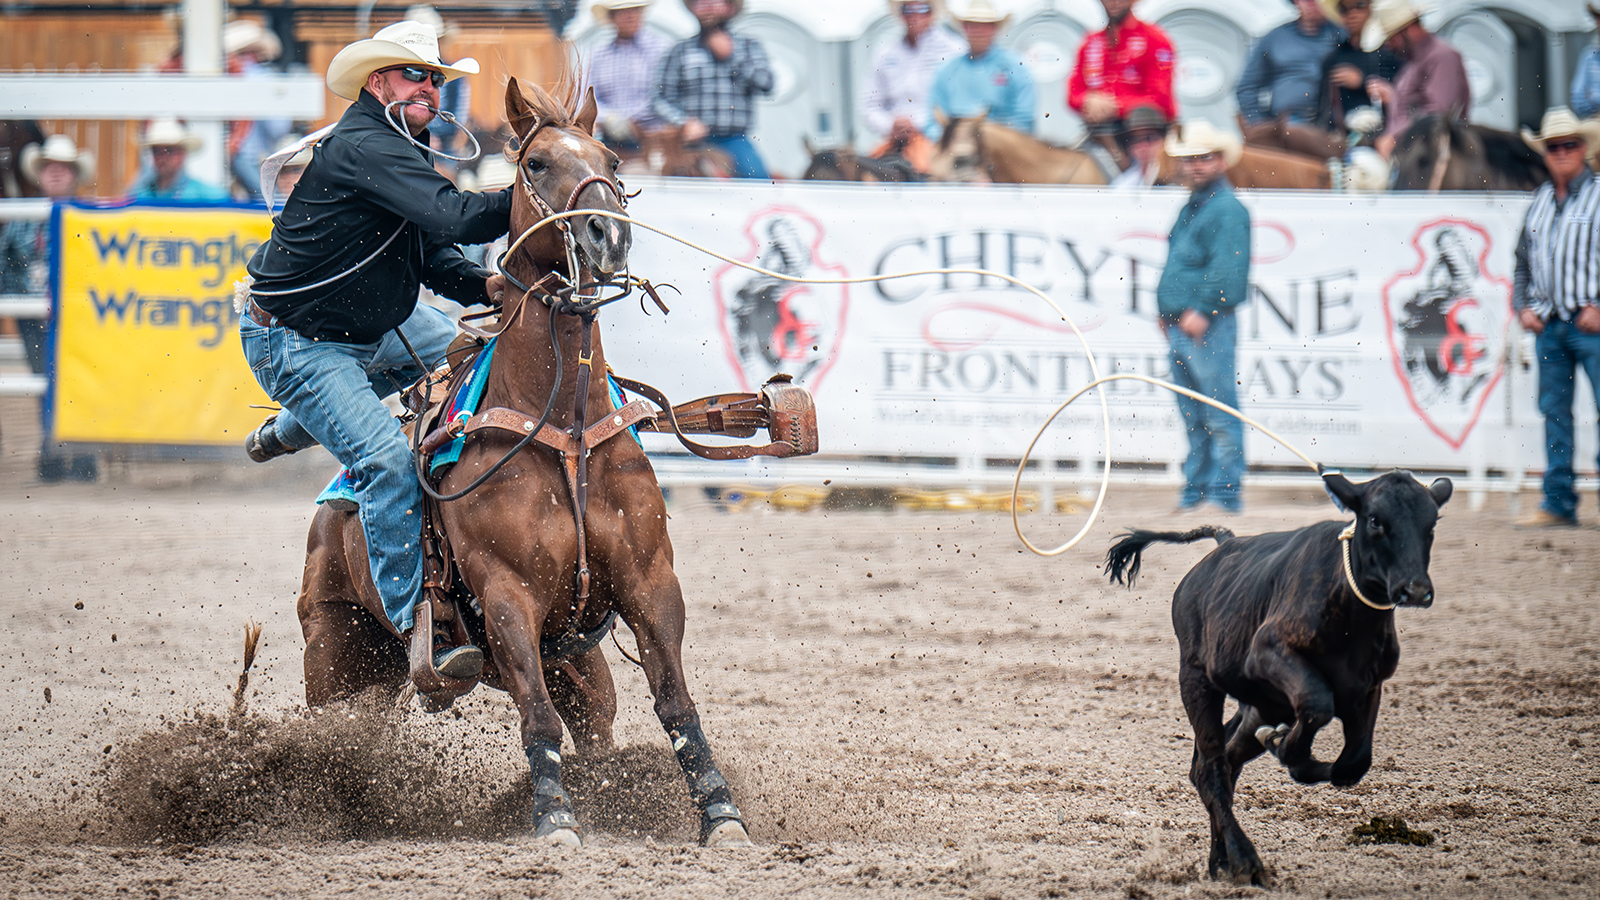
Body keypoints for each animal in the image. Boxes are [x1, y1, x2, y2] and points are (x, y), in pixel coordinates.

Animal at [292, 73, 748, 845]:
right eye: (535, 163)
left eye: (613, 162)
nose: (607, 234)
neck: (562, 428)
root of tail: (334, 506)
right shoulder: (507, 597)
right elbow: (537, 719)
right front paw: (555, 817)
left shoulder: (650, 582)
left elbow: (676, 702)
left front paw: (720, 813)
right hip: (334, 648)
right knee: (335, 738)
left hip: (576, 665)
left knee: (594, 727)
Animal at [1107, 470, 1459, 883]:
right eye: (1375, 520)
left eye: (1431, 524)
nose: (1415, 590)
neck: (1349, 614)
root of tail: (1223, 545)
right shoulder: (1268, 653)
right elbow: (1317, 705)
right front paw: (1284, 746)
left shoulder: (1370, 687)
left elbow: (1353, 763)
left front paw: (1291, 750)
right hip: (1196, 679)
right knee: (1211, 769)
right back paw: (1244, 860)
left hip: (1261, 706)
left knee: (1223, 762)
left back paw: (1220, 859)